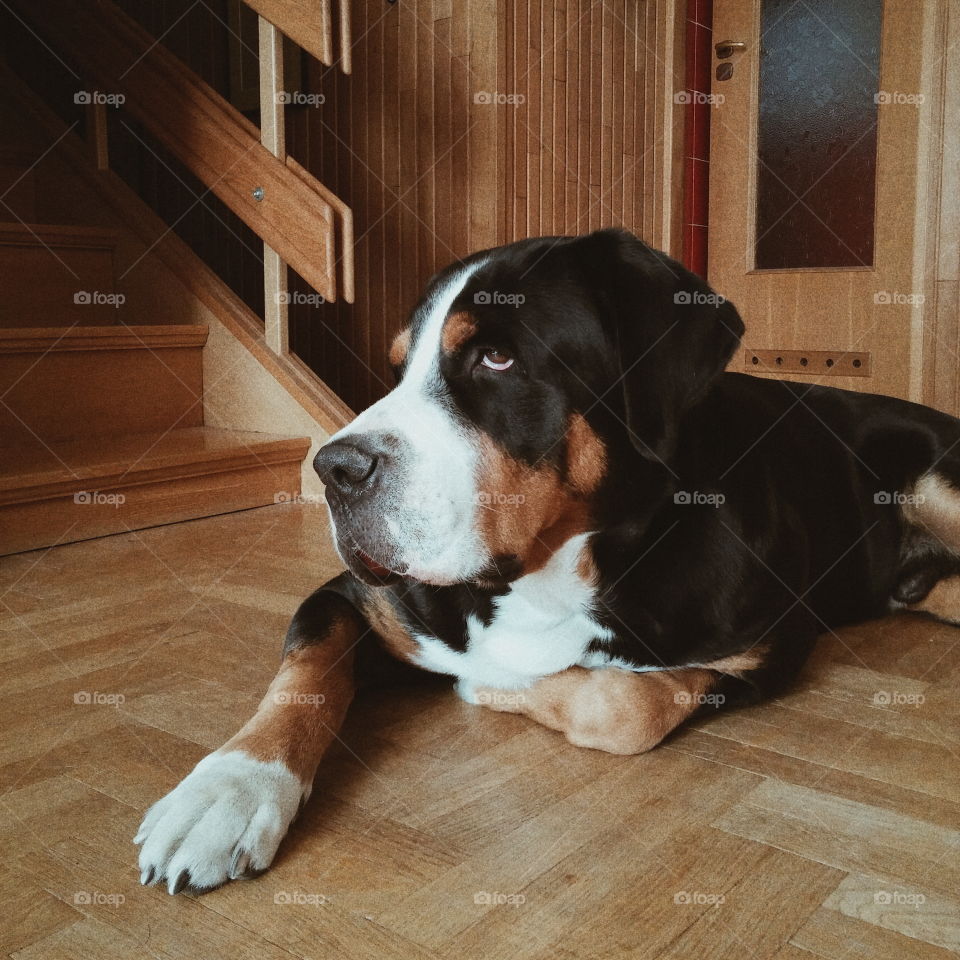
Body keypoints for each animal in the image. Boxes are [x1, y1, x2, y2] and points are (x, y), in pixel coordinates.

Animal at [133, 231, 960, 892]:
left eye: (497, 357)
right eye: (398, 370)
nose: (334, 468)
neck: (549, 575)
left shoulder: (768, 643)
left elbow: (626, 706)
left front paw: (497, 685)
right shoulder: (356, 599)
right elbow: (301, 679)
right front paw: (229, 791)